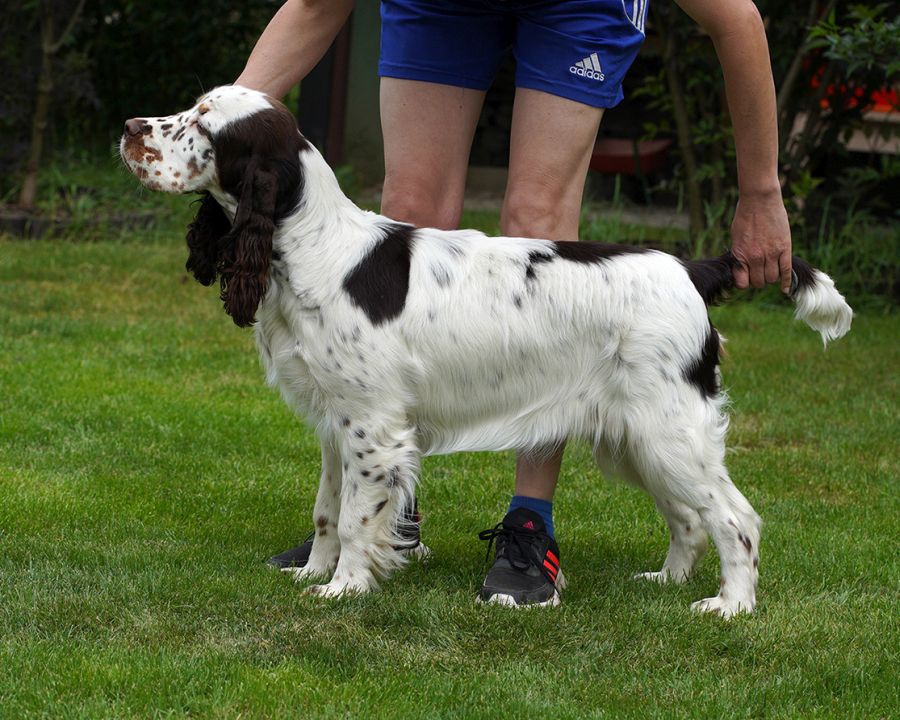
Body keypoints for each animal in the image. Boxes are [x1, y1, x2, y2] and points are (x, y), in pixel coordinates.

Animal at [119, 87, 852, 616]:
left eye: (202, 125)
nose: (129, 128)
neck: (312, 247)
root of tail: (690, 269)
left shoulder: (373, 427)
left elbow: (356, 518)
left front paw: (344, 589)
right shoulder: (334, 422)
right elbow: (327, 510)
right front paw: (313, 571)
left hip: (668, 429)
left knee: (734, 516)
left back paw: (731, 606)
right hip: (634, 437)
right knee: (688, 518)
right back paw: (666, 581)